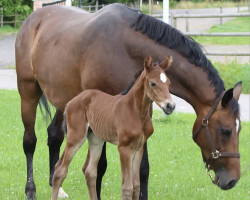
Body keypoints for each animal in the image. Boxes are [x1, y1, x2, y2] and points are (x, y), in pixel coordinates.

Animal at [51, 55, 175, 199]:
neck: (135, 111)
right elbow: (127, 188)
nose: (170, 106)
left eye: (169, 83)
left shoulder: (138, 148)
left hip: (96, 140)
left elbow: (136, 186)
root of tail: (70, 102)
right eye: (153, 83)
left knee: (90, 172)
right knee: (60, 170)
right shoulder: (124, 148)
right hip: (76, 137)